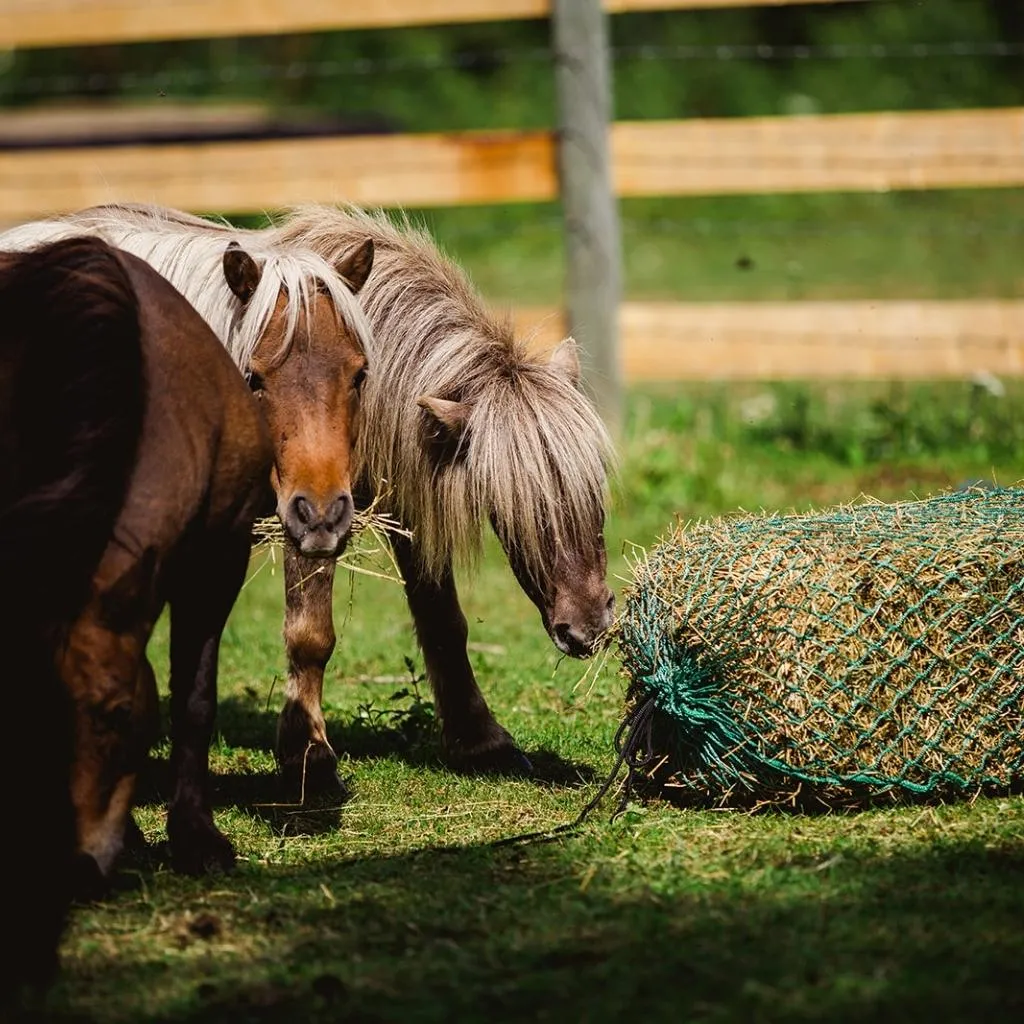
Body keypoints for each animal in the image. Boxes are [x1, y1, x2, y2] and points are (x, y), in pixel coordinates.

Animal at [264, 201, 614, 790]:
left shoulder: (407, 504)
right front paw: (307, 757)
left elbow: (443, 621)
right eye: (519, 511)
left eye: (596, 496)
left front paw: (482, 743)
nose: (588, 630)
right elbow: (310, 632)